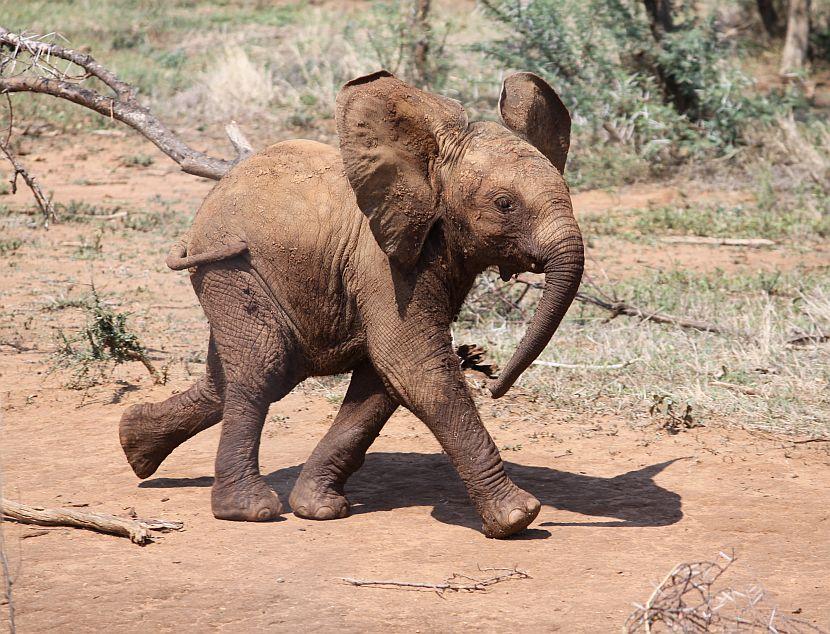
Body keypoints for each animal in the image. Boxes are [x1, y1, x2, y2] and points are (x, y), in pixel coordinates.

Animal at [122, 71, 584, 536]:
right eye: (504, 204)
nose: (492, 380)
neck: (428, 166)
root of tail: (201, 213)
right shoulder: (382, 263)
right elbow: (414, 365)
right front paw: (517, 518)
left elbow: (384, 378)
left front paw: (318, 507)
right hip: (230, 267)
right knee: (263, 367)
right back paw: (249, 509)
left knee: (240, 375)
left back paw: (134, 443)